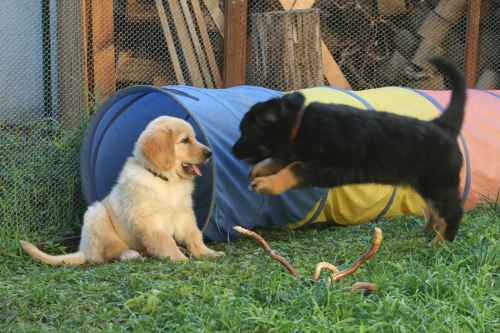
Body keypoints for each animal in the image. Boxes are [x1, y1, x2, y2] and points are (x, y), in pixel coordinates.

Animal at [19, 115, 223, 266]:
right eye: (185, 140)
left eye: (194, 138)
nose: (210, 153)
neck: (166, 180)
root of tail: (84, 249)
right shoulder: (149, 221)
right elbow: (165, 240)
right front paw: (179, 259)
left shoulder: (184, 214)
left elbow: (194, 235)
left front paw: (207, 252)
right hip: (97, 214)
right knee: (109, 252)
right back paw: (130, 254)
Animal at [232, 57, 466, 244]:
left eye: (245, 132)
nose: (232, 151)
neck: (301, 124)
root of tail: (442, 125)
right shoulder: (298, 152)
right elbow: (282, 159)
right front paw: (260, 170)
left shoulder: (330, 169)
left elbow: (295, 167)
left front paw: (267, 184)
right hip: (424, 184)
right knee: (435, 211)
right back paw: (428, 233)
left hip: (439, 183)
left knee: (453, 211)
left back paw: (441, 243)